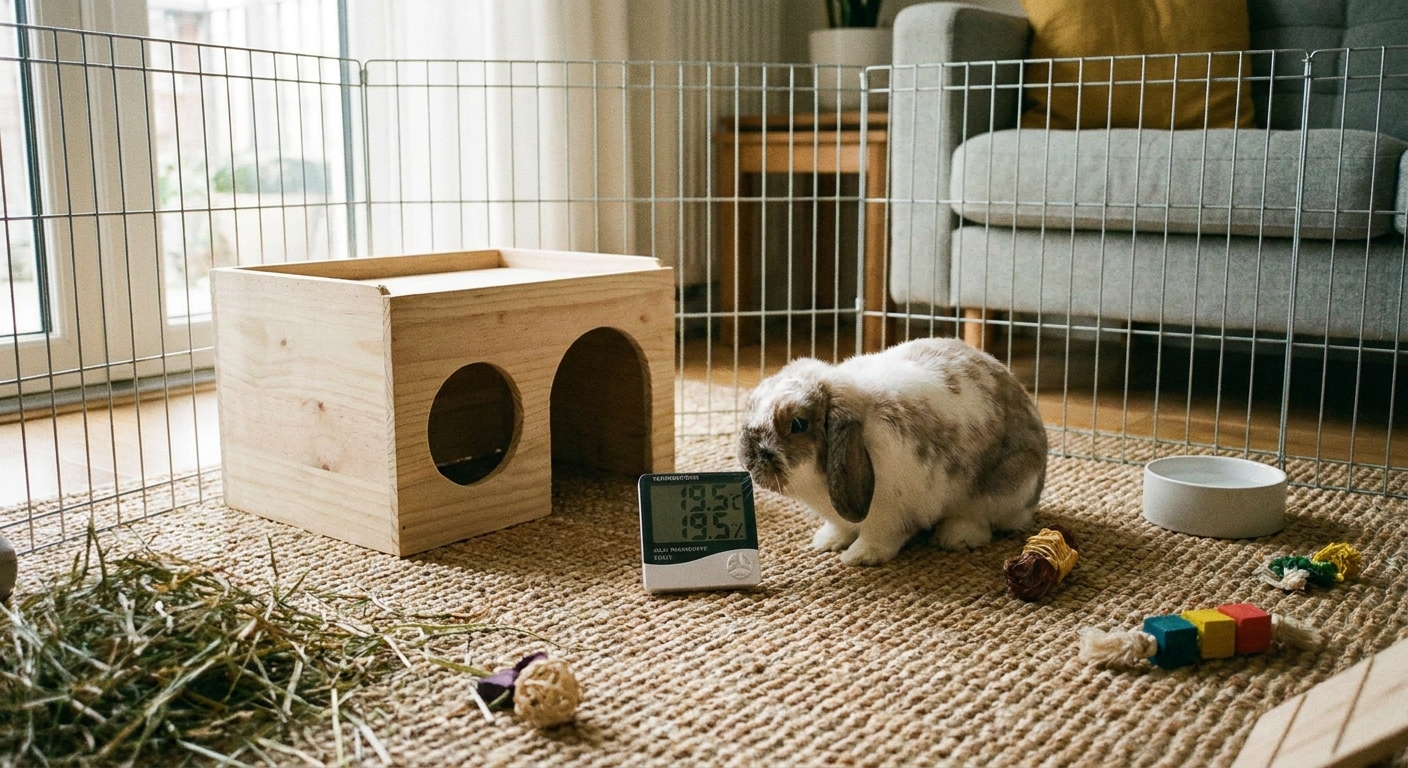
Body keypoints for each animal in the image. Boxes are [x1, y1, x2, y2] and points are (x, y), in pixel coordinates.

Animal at [736, 337, 1048, 566]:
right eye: (751, 404)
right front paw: (826, 541)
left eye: (798, 424)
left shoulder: (888, 514)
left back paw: (954, 537)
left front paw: (858, 556)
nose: (748, 457)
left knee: (983, 523)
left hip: (997, 492)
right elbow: (840, 527)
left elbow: (878, 536)